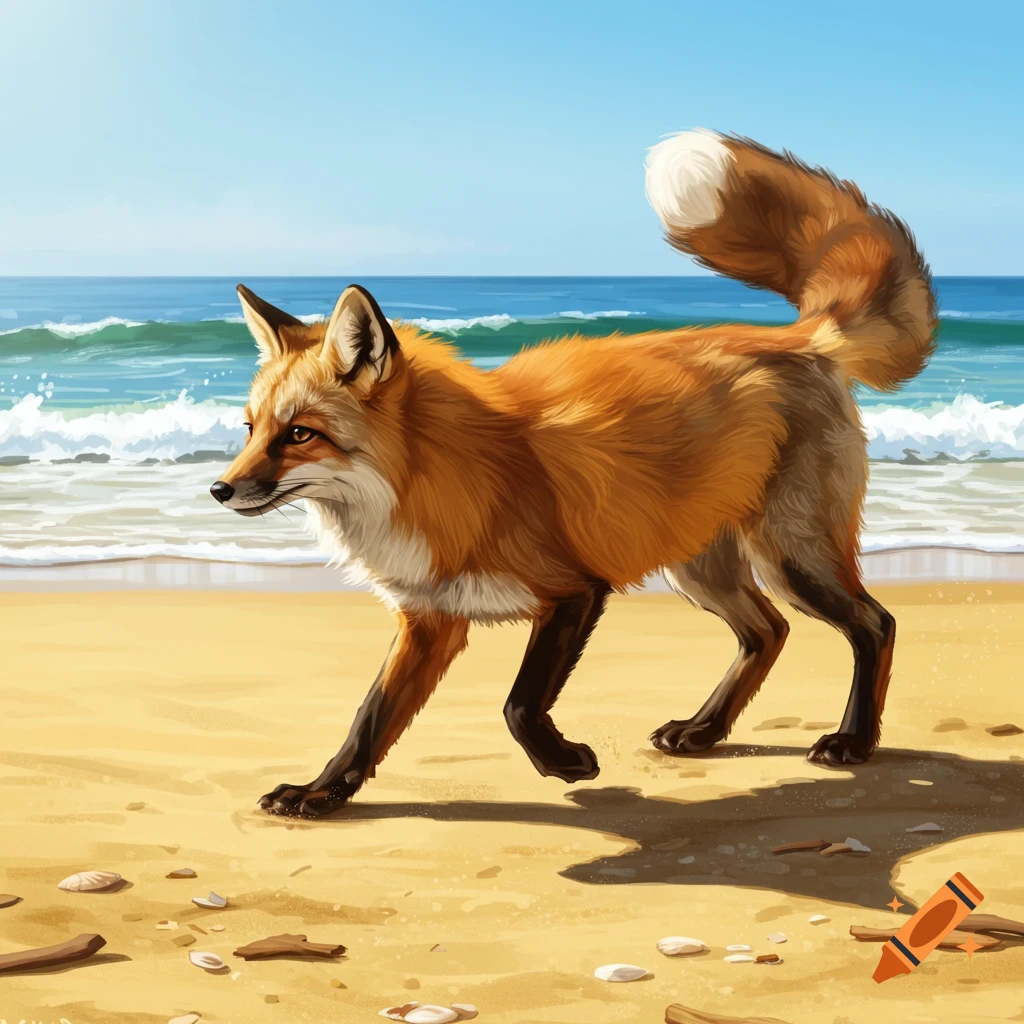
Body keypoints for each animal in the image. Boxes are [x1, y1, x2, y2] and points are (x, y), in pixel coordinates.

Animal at [210, 130, 937, 818]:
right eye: (249, 430)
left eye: (299, 435)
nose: (219, 489)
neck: (434, 479)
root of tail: (802, 338)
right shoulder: (430, 620)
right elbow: (369, 720)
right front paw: (321, 793)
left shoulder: (573, 591)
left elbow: (517, 704)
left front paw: (564, 762)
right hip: (698, 566)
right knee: (768, 632)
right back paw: (704, 731)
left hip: (790, 556)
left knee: (874, 624)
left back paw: (853, 742)